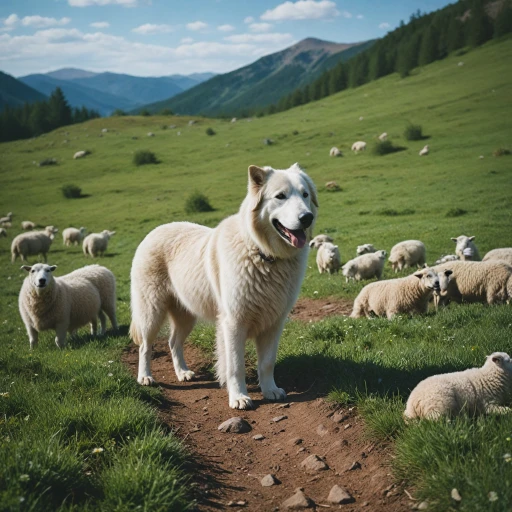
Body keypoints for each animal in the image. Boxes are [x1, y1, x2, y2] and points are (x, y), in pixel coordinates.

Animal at [130, 162, 318, 410]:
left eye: (305, 194)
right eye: (280, 196)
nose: (307, 217)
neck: (262, 253)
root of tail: (153, 231)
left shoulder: (274, 322)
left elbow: (267, 362)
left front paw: (270, 390)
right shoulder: (234, 323)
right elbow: (235, 365)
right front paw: (238, 397)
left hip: (186, 314)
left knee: (173, 342)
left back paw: (182, 372)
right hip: (151, 312)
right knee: (145, 346)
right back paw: (145, 377)